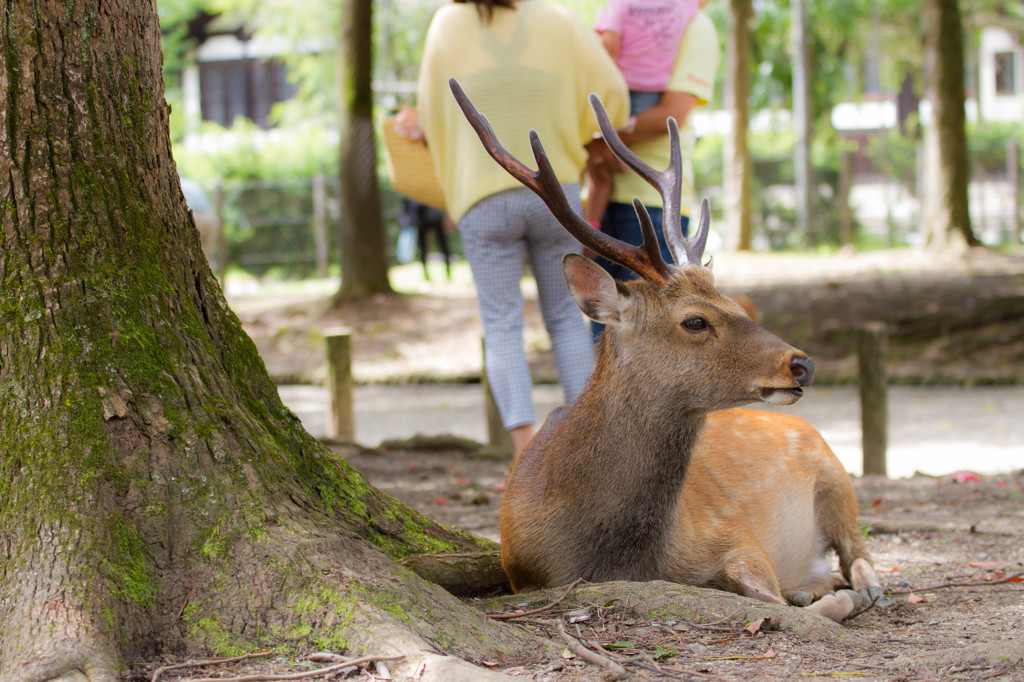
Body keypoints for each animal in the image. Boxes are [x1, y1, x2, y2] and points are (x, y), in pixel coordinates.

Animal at [452, 79, 884, 622]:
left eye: (733, 301)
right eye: (695, 320)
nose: (801, 363)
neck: (621, 557)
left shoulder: (735, 534)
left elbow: (772, 599)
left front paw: (830, 600)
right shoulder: (524, 571)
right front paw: (816, 598)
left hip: (836, 475)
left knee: (859, 550)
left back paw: (860, 588)